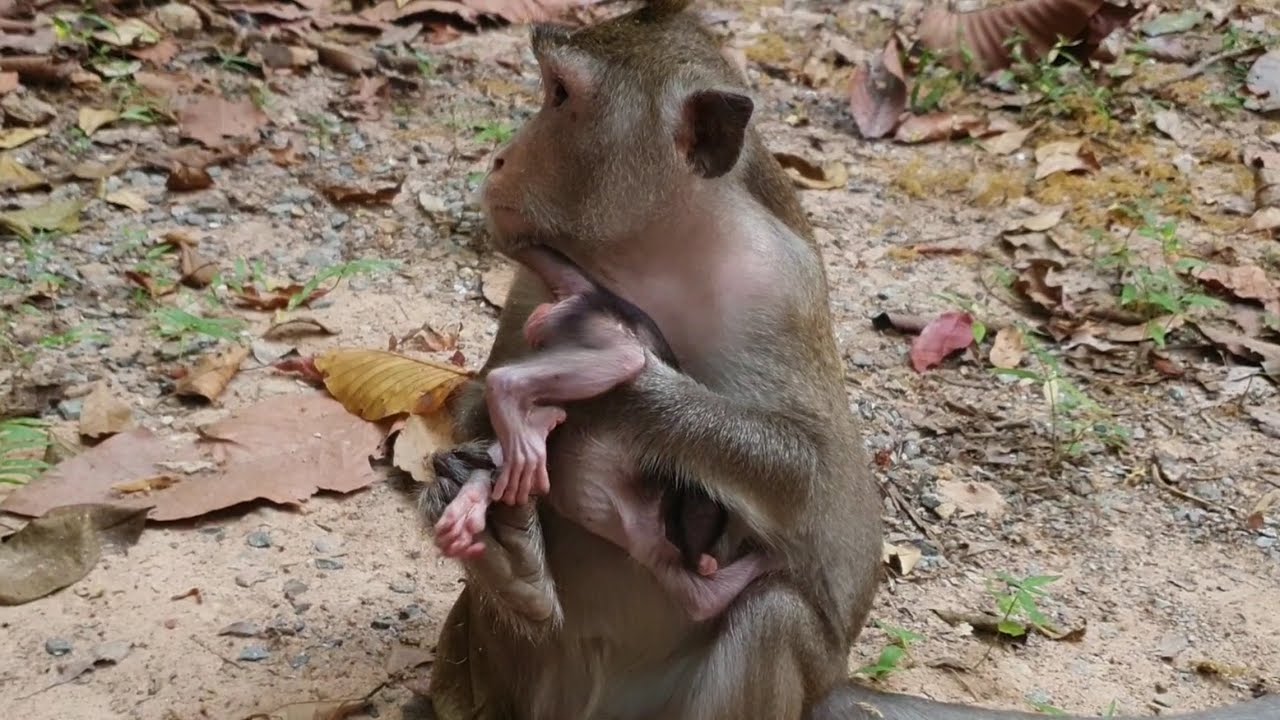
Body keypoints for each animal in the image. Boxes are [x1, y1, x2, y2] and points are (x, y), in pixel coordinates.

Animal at [415, 1, 1280, 719]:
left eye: (560, 97)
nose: (500, 163)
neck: (655, 248)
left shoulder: (781, 289)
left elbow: (814, 475)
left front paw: (616, 382)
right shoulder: (539, 272)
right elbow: (466, 402)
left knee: (771, 614)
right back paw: (514, 573)